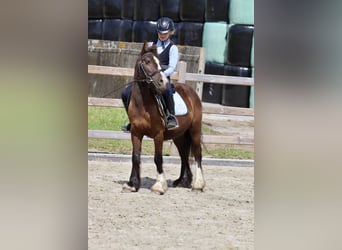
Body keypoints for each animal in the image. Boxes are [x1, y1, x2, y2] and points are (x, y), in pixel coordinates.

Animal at [121, 41, 204, 194]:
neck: (143, 105)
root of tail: (191, 91)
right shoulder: (135, 133)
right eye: (147, 62)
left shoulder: (158, 134)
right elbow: (135, 156)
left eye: (159, 63)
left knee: (197, 154)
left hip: (195, 130)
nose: (162, 82)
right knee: (184, 154)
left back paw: (197, 185)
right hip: (179, 135)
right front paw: (132, 184)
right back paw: (182, 181)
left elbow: (158, 158)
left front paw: (159, 185)